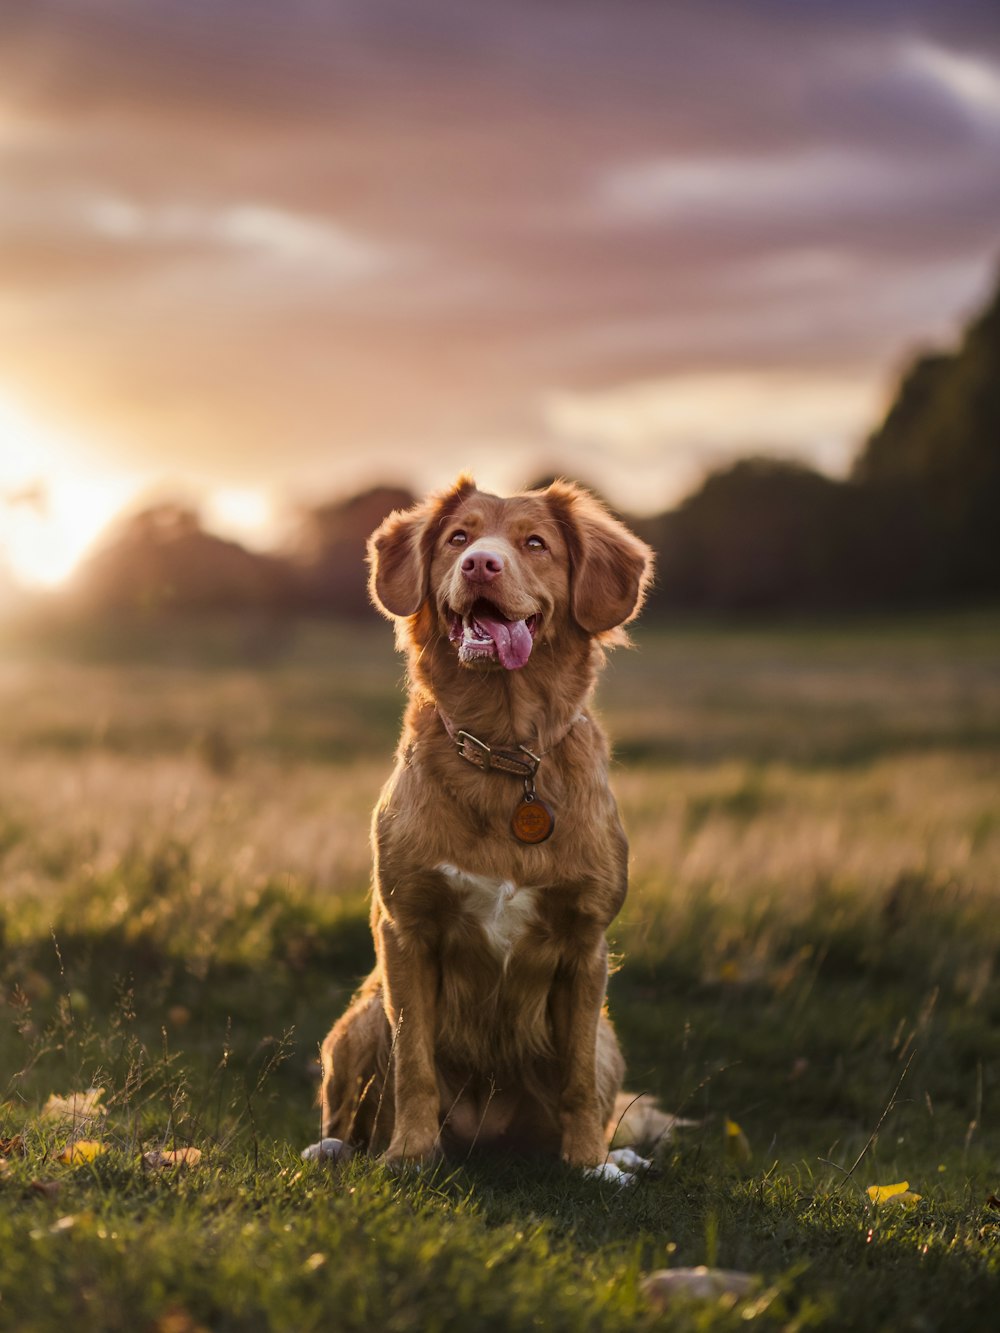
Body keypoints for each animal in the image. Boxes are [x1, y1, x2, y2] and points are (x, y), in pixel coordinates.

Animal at [309, 477, 658, 1178]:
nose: (480, 565)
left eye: (536, 543)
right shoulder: (407, 931)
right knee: (348, 1109)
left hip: (609, 1036)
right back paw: (335, 1148)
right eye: (457, 538)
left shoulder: (586, 945)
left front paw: (587, 1164)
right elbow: (413, 1065)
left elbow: (579, 1079)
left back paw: (619, 1157)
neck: (504, 752)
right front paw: (409, 1154)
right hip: (359, 1017)